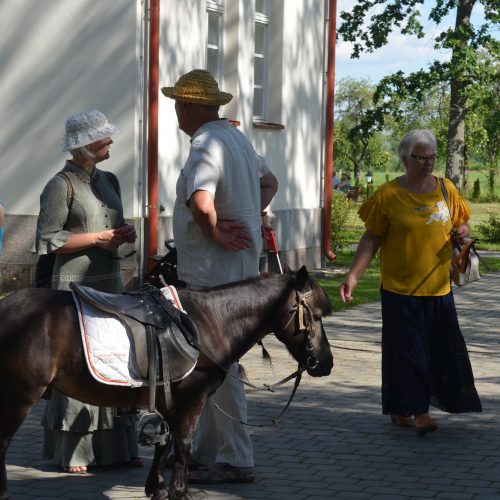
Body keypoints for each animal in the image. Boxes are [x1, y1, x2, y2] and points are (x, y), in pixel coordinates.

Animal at [0, 268, 336, 498]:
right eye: (317, 316)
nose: (326, 362)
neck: (209, 321)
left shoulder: (170, 402)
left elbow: (166, 443)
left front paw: (158, 488)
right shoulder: (192, 400)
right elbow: (183, 444)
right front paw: (180, 491)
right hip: (18, 398)